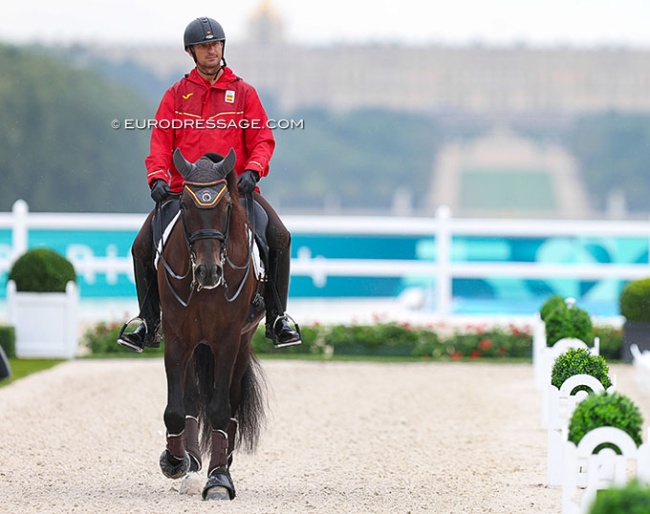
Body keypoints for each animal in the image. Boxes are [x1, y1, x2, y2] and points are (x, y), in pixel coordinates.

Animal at [157, 148, 266, 500]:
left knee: (230, 404)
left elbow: (220, 409)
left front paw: (218, 480)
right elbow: (177, 408)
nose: (208, 271)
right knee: (191, 399)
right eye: (185, 205)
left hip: (241, 344)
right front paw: (175, 461)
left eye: (227, 206)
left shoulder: (227, 340)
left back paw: (221, 466)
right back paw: (190, 462)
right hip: (196, 346)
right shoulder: (177, 338)